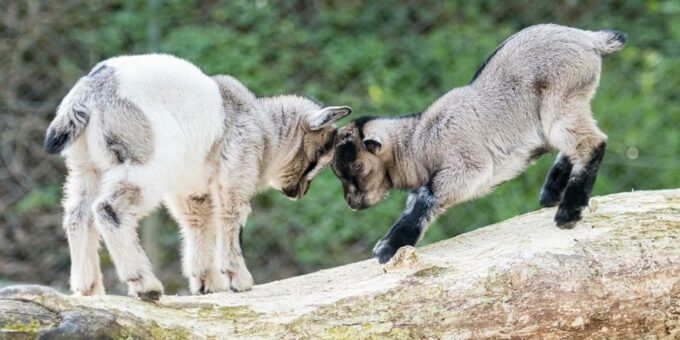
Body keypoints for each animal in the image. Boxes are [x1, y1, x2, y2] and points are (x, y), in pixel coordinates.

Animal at [46, 53, 350, 300]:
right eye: (319, 152)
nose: (299, 192)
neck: (264, 128)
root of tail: (90, 91)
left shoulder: (192, 192)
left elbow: (198, 225)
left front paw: (207, 284)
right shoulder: (236, 170)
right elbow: (231, 216)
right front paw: (239, 280)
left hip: (85, 166)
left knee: (78, 215)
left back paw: (89, 289)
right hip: (145, 164)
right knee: (108, 209)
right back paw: (145, 285)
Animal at [332, 24, 624, 262]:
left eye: (357, 167)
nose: (350, 202)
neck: (418, 142)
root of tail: (589, 38)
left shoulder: (468, 165)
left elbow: (428, 196)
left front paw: (387, 249)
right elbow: (416, 202)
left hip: (562, 98)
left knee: (593, 142)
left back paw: (568, 213)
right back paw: (551, 193)